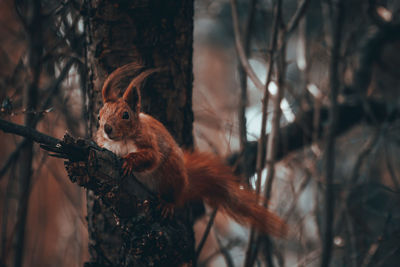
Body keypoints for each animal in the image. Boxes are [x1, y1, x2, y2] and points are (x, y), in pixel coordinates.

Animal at [94, 63, 288, 238]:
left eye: (125, 115)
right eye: (99, 115)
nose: (107, 128)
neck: (121, 141)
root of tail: (186, 183)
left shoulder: (149, 141)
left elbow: (152, 157)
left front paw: (129, 161)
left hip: (172, 171)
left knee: (174, 194)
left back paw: (167, 204)